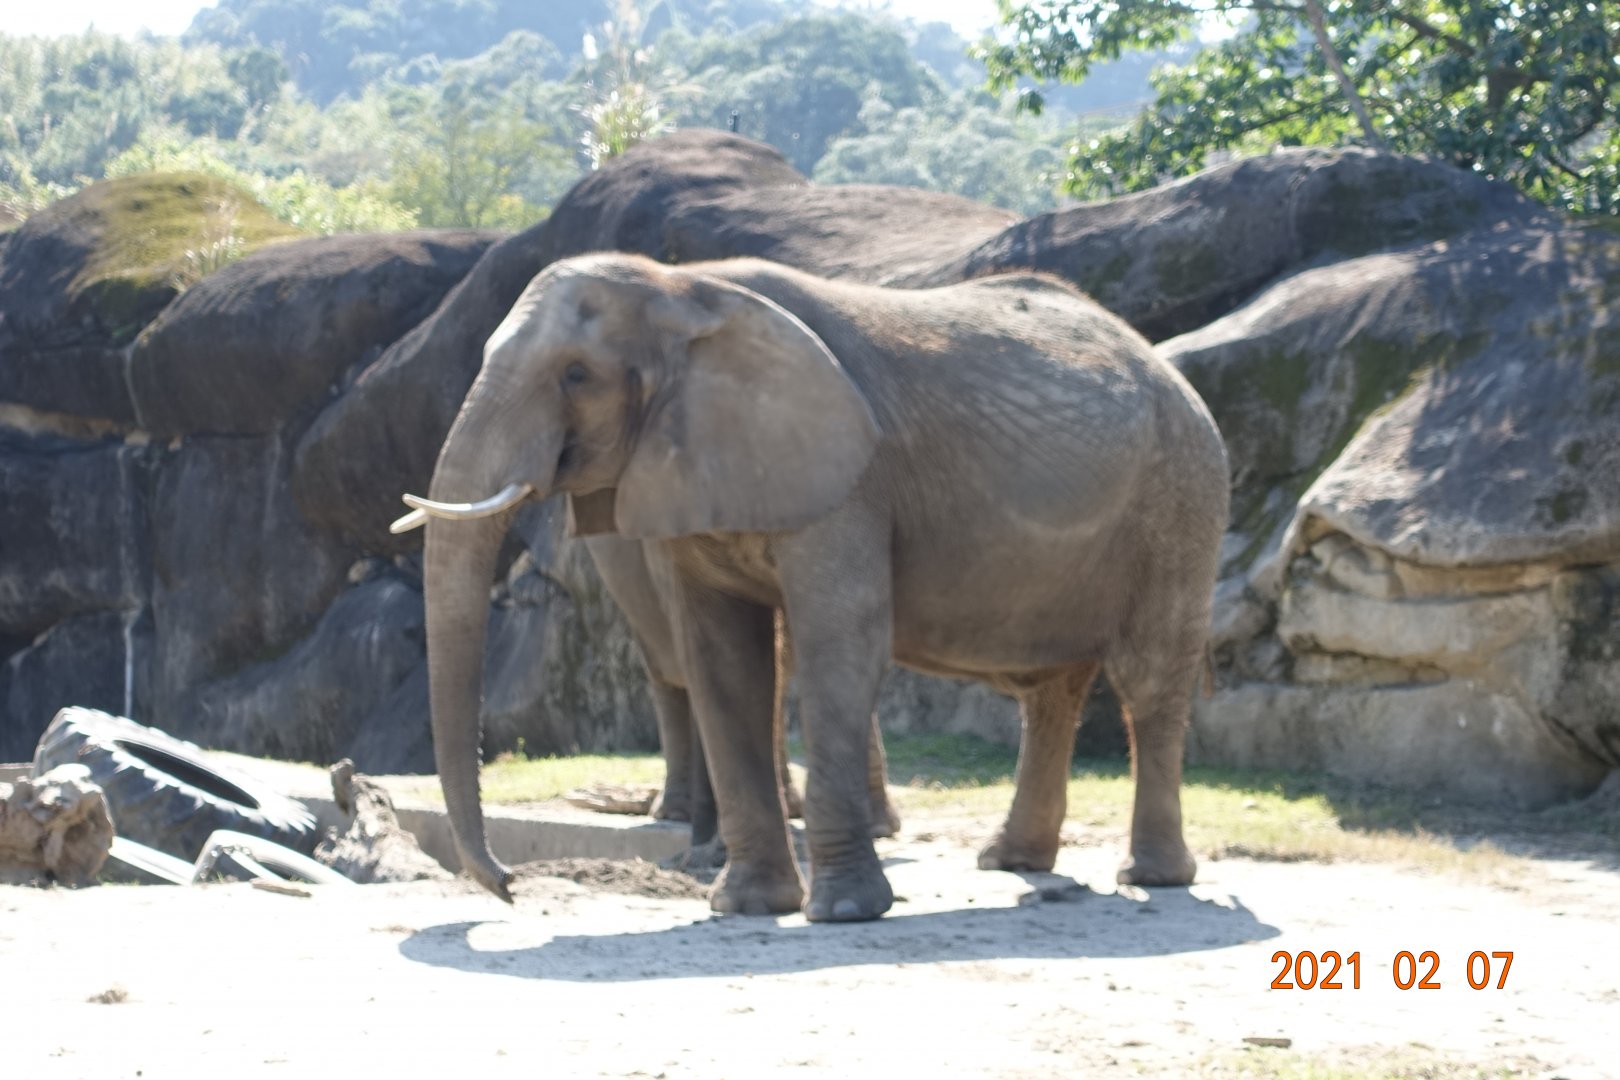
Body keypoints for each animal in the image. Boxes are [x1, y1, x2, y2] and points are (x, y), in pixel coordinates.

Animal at [396, 252, 1229, 922]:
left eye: (575, 374)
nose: (508, 885)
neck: (682, 286)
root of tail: (1164, 364)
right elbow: (722, 660)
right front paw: (745, 907)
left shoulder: (849, 480)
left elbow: (837, 638)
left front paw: (846, 913)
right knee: (1050, 690)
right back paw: (1011, 862)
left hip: (1181, 497)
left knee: (1148, 680)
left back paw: (1152, 876)